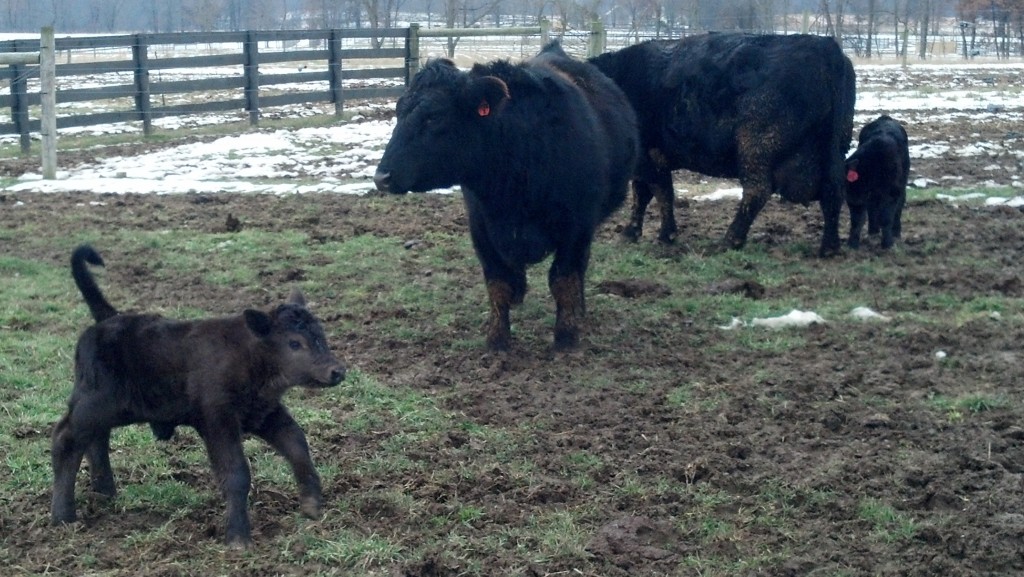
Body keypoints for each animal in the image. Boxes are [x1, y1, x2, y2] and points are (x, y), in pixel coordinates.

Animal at [372, 42, 634, 350]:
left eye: (433, 116)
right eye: (399, 111)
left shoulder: (577, 227)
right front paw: (497, 339)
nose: (381, 178)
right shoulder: (481, 228)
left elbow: (564, 279)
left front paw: (566, 337)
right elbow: (498, 284)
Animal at [589, 32, 860, 256]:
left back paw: (730, 239)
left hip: (755, 147)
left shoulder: (649, 157)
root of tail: (824, 46)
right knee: (833, 191)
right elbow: (644, 193)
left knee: (757, 192)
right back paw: (829, 247)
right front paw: (633, 233)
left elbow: (659, 192)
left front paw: (664, 235)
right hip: (834, 150)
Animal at [843, 115, 909, 248]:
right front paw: (852, 243)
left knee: (898, 208)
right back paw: (873, 231)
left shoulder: (892, 192)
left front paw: (888, 243)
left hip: (902, 184)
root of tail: (884, 118)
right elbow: (857, 220)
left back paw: (896, 232)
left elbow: (887, 217)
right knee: (872, 209)